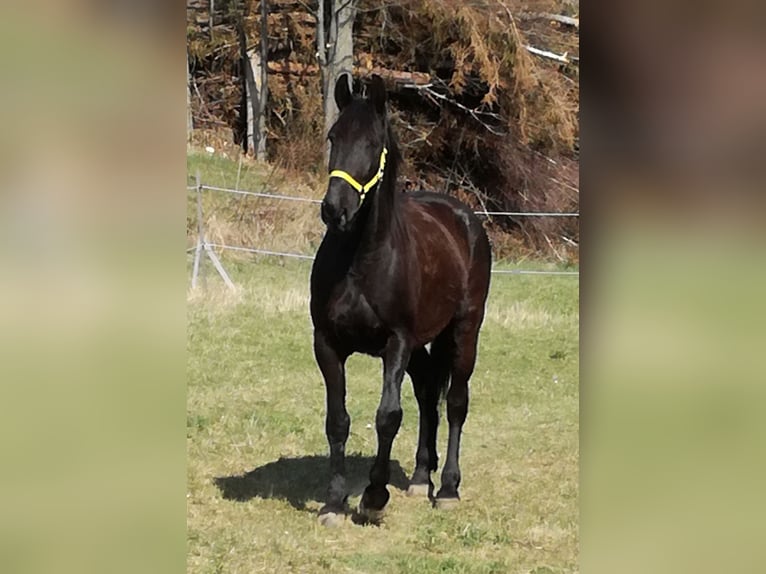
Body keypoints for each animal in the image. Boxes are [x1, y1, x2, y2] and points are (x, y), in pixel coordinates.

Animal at [310, 73, 492, 528]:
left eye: (374, 143)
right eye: (334, 136)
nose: (335, 209)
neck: (361, 259)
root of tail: (464, 218)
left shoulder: (397, 342)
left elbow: (387, 416)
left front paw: (373, 497)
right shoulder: (327, 344)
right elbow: (337, 420)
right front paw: (334, 502)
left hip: (464, 331)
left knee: (456, 402)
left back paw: (446, 488)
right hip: (422, 347)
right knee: (428, 392)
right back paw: (421, 476)